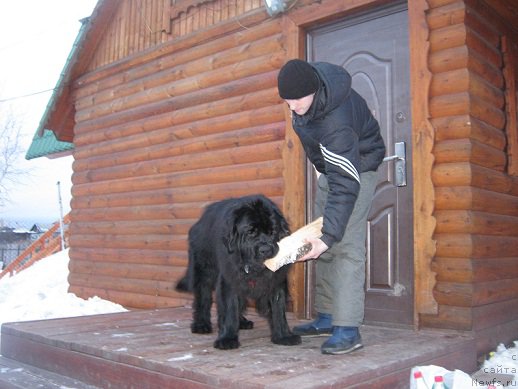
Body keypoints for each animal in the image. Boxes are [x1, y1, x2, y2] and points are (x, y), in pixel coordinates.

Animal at [177, 194, 302, 348]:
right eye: (250, 232)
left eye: (272, 232)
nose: (266, 250)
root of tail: (200, 220)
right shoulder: (229, 280)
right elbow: (230, 307)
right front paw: (227, 338)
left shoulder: (276, 280)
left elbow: (278, 308)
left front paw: (283, 336)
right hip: (203, 270)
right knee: (203, 297)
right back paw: (201, 324)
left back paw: (242, 322)